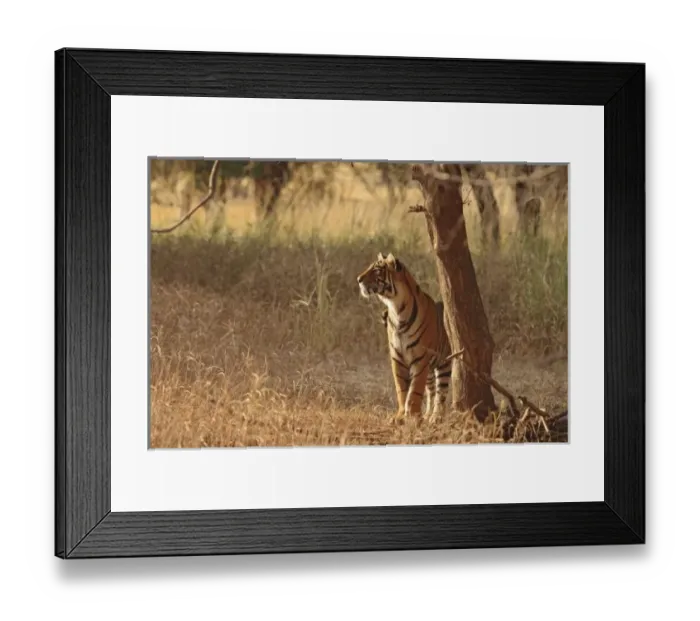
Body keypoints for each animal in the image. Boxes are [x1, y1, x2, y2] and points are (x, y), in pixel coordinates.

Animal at [357, 253, 452, 423]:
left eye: (377, 270)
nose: (358, 279)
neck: (396, 308)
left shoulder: (420, 359)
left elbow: (415, 391)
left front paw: (412, 415)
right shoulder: (397, 358)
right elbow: (401, 389)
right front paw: (401, 416)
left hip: (444, 363)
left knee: (441, 392)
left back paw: (436, 417)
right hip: (429, 368)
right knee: (431, 390)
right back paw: (427, 415)